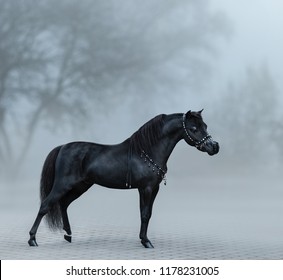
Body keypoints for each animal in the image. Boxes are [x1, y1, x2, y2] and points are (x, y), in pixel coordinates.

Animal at [28, 110, 220, 248]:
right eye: (193, 129)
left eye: (205, 125)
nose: (214, 147)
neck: (147, 150)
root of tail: (62, 147)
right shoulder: (145, 188)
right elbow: (144, 213)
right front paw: (146, 242)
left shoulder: (154, 188)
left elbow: (148, 213)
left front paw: (144, 239)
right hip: (64, 184)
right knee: (46, 205)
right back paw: (32, 239)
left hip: (81, 186)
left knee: (64, 204)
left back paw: (68, 234)